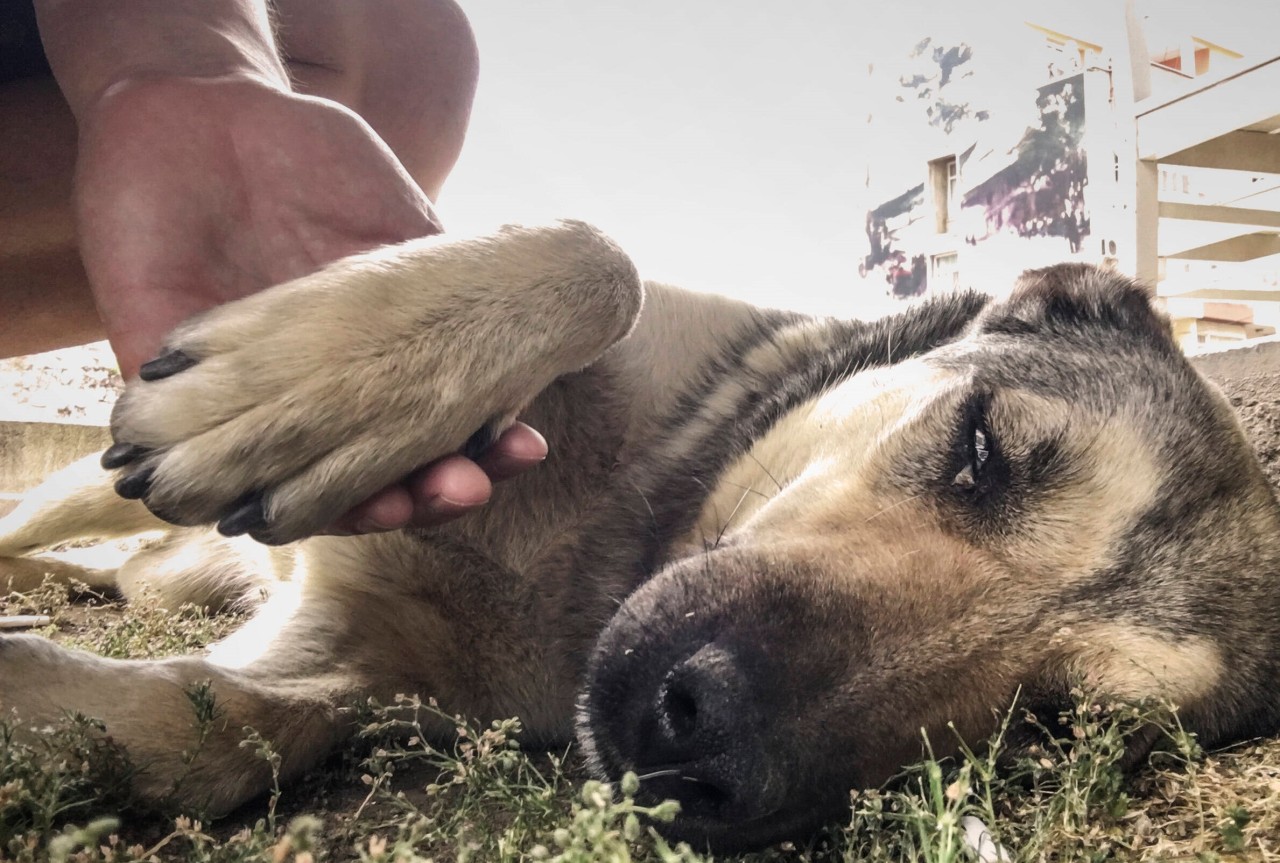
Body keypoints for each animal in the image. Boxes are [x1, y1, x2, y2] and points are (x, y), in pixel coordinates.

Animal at [2, 221, 1280, 845]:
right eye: (983, 450)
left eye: (1049, 723)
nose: (701, 739)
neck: (608, 551)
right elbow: (597, 261)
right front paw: (305, 389)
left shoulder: (352, 669)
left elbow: (217, 728)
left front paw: (46, 707)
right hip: (86, 495)